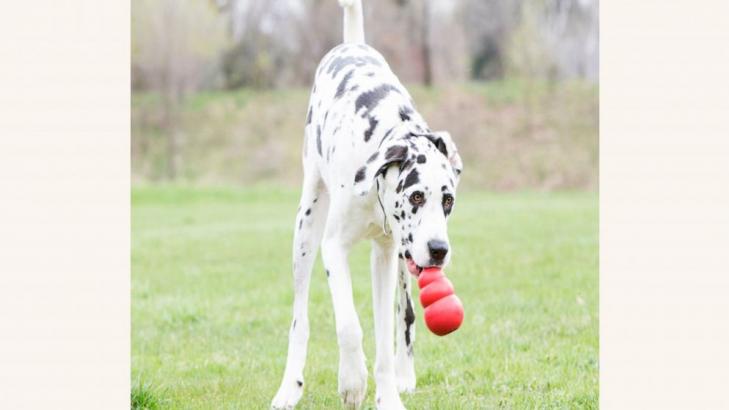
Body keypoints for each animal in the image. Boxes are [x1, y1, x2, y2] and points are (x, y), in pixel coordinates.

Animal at [270, 1, 464, 408]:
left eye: (448, 200)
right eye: (416, 195)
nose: (439, 249)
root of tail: (352, 43)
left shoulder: (387, 257)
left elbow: (386, 336)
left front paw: (388, 396)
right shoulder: (333, 248)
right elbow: (349, 325)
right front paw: (353, 380)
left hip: (405, 260)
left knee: (406, 314)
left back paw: (405, 374)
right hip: (306, 230)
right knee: (299, 319)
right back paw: (289, 387)